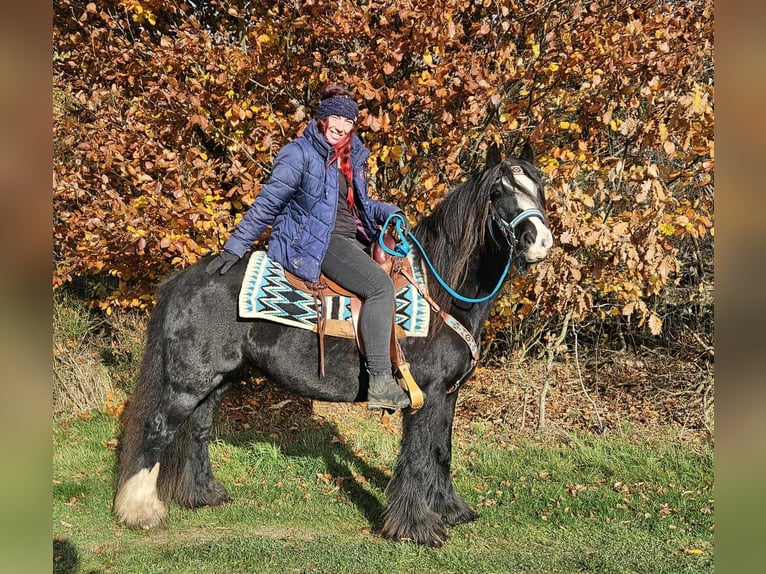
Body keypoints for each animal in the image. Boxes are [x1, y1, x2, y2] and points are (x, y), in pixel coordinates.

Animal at [114, 143, 553, 547]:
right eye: (498, 192)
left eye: (538, 187)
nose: (540, 241)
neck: (440, 292)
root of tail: (183, 280)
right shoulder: (424, 394)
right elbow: (417, 456)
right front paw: (417, 528)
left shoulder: (448, 394)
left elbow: (441, 452)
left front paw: (451, 511)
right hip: (189, 381)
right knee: (159, 429)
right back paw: (140, 512)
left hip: (216, 379)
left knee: (198, 429)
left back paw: (202, 494)